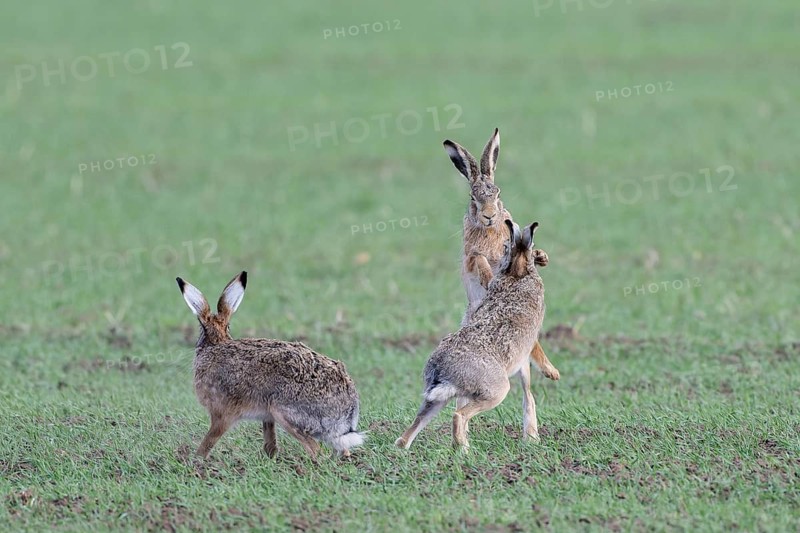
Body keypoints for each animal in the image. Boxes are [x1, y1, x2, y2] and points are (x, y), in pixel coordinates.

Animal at [175, 271, 364, 460]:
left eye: (200, 329)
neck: (216, 343)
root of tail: (347, 416)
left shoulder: (222, 413)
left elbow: (210, 440)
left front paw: (196, 459)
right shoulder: (266, 418)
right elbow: (270, 440)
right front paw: (270, 456)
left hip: (283, 411)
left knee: (315, 449)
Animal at [396, 219, 546, 450]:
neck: (516, 272)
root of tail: (444, 370)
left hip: (436, 398)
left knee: (411, 429)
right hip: (496, 390)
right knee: (459, 415)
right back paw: (465, 450)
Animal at [443, 128, 560, 382]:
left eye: (497, 193)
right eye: (472, 197)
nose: (489, 215)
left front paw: (542, 256)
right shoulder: (471, 255)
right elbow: (480, 259)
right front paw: (488, 278)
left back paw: (551, 371)